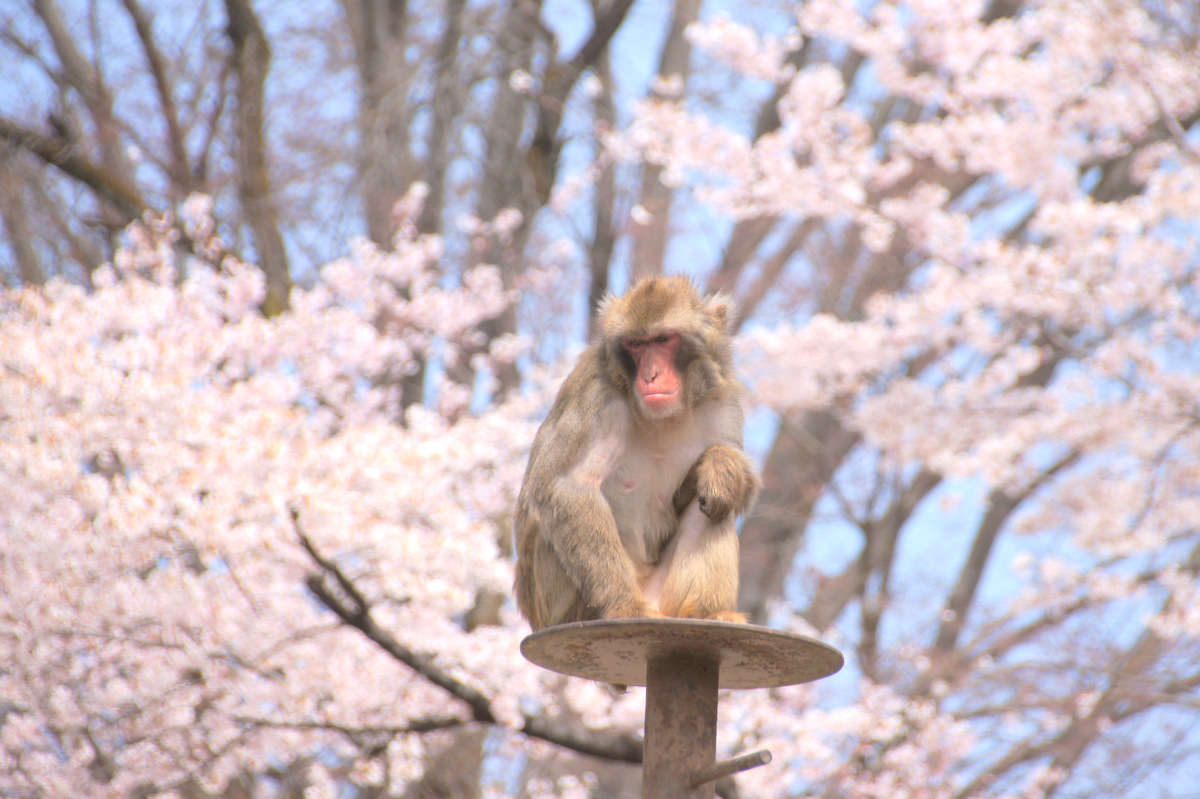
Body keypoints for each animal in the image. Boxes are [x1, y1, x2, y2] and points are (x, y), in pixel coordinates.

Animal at [513, 273, 758, 628]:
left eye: (663, 339)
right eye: (636, 345)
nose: (650, 375)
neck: (662, 420)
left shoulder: (721, 403)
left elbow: (732, 485)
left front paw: (721, 466)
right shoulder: (597, 398)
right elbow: (565, 488)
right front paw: (625, 605)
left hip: (665, 597)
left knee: (714, 507)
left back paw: (706, 613)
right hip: (558, 606)